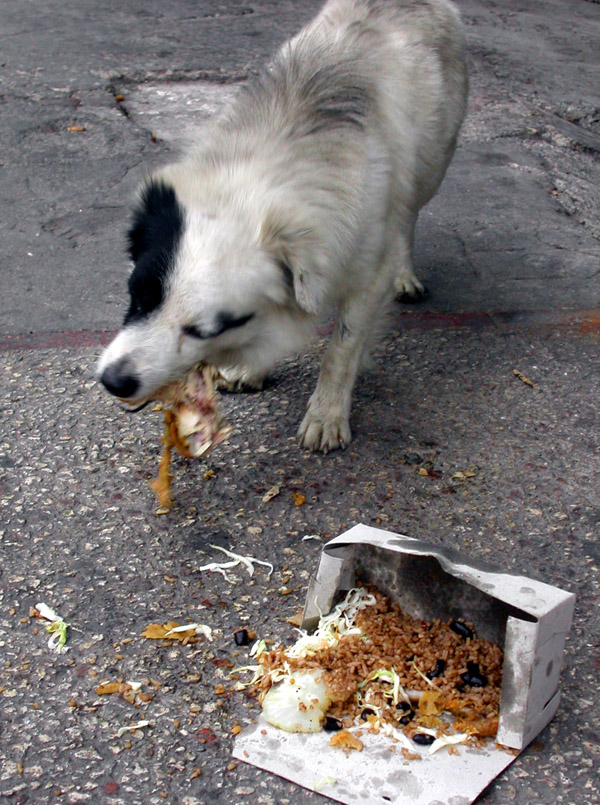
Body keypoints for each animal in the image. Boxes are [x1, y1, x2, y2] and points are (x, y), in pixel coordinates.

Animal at [97, 0, 468, 452]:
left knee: (409, 214)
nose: (114, 380)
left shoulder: (367, 271)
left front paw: (327, 413)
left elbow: (343, 347)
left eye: (203, 330)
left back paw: (406, 272)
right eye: (138, 296)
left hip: (433, 165)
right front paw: (250, 370)